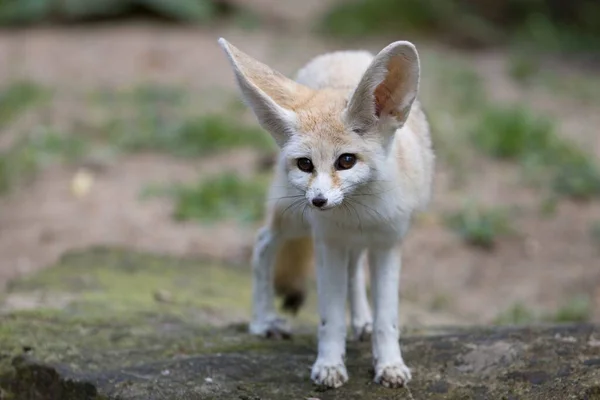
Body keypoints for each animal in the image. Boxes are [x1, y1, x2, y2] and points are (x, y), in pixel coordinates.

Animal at [218, 37, 434, 388]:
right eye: (305, 164)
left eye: (346, 161)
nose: (318, 201)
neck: (359, 213)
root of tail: (341, 53)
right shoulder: (328, 242)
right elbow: (330, 317)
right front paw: (330, 365)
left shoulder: (387, 243)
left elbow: (387, 318)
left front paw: (389, 364)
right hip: (292, 220)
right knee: (263, 244)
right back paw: (263, 321)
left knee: (354, 268)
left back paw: (362, 321)